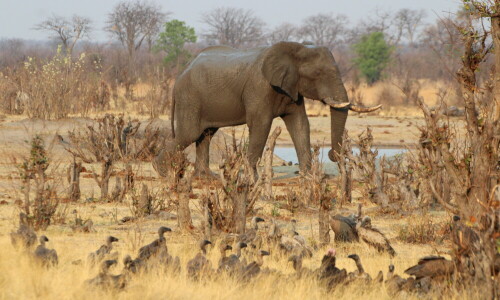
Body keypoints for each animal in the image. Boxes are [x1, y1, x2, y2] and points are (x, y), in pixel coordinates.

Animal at [152, 40, 378, 176]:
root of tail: (180, 74)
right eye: (318, 74)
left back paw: (207, 177)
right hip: (190, 97)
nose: (332, 154)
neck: (297, 48)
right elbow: (261, 125)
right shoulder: (259, 88)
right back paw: (162, 171)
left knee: (205, 135)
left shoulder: (292, 88)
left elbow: (300, 124)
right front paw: (251, 180)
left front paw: (308, 175)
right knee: (189, 134)